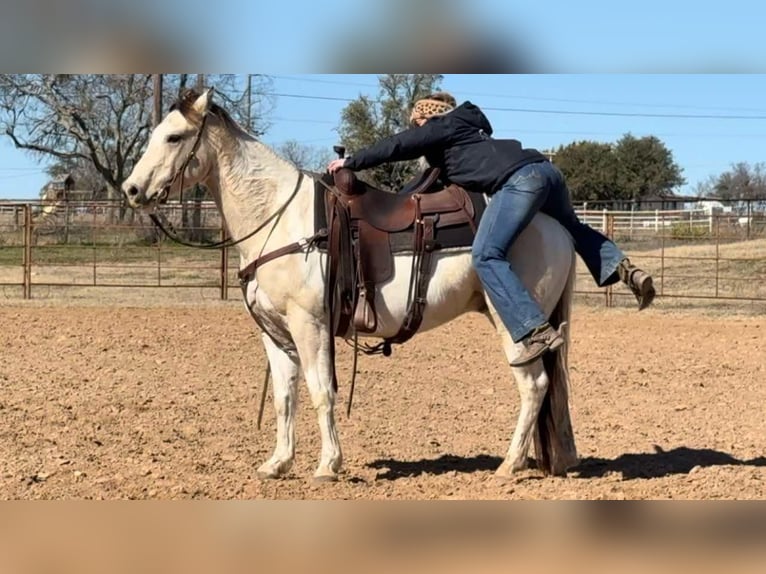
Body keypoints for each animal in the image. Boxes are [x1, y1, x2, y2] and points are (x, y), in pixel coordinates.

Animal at [123, 89, 580, 486]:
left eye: (174, 136)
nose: (131, 189)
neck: (280, 218)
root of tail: (555, 227)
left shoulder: (311, 325)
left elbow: (320, 391)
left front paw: (328, 465)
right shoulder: (274, 333)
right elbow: (284, 398)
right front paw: (277, 463)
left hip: (511, 323)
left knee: (534, 385)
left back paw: (508, 465)